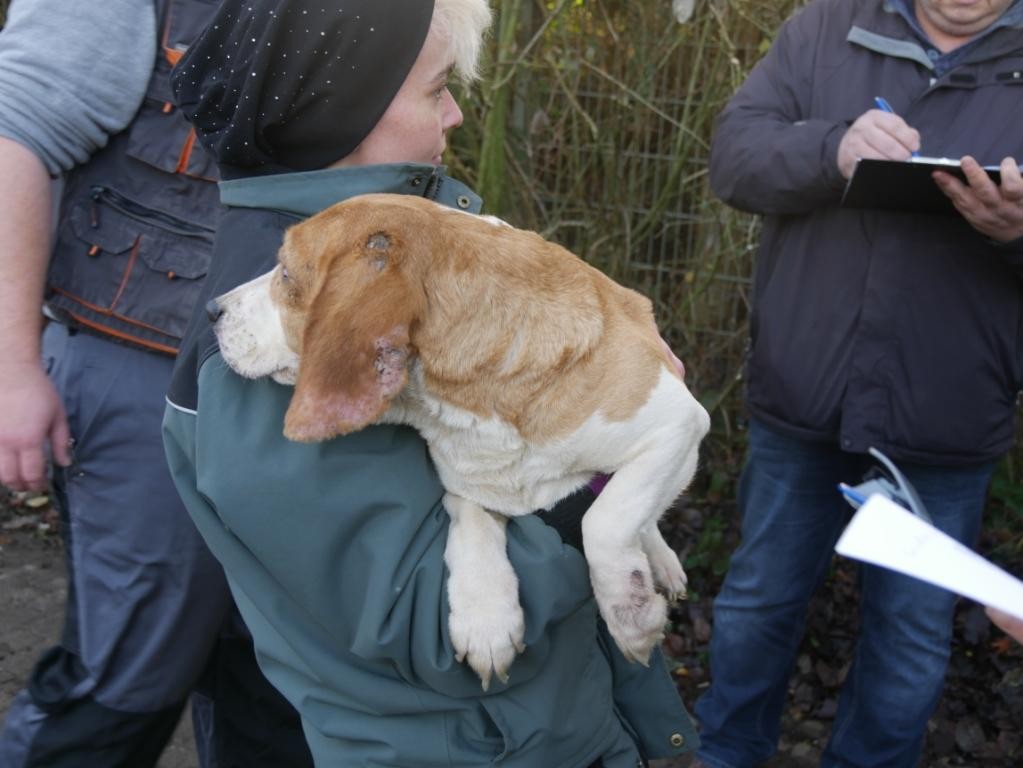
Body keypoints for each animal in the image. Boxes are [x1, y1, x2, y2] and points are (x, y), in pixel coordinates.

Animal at [213, 193, 712, 691]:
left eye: (285, 273)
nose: (212, 310)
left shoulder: (679, 425)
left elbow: (604, 521)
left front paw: (631, 613)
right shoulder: (471, 484)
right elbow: (472, 523)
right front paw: (486, 619)